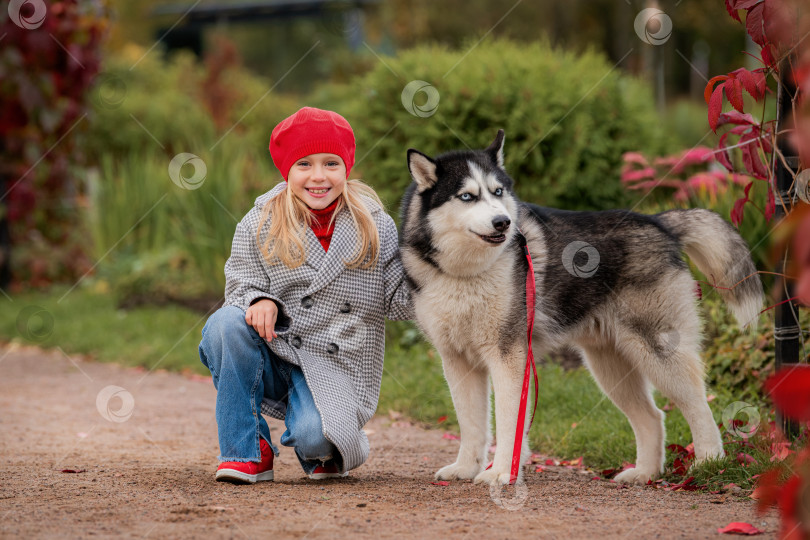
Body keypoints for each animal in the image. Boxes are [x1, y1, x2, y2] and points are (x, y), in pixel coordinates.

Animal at [400, 131, 760, 486]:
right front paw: (466, 468)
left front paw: (502, 473)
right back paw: (645, 473)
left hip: (657, 351)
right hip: (609, 366)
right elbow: (471, 423)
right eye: (466, 196)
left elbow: (508, 422)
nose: (503, 222)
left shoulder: (510, 356)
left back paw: (709, 461)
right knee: (653, 416)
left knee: (699, 406)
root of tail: (658, 222)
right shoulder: (457, 360)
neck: (467, 273)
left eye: (497, 192)